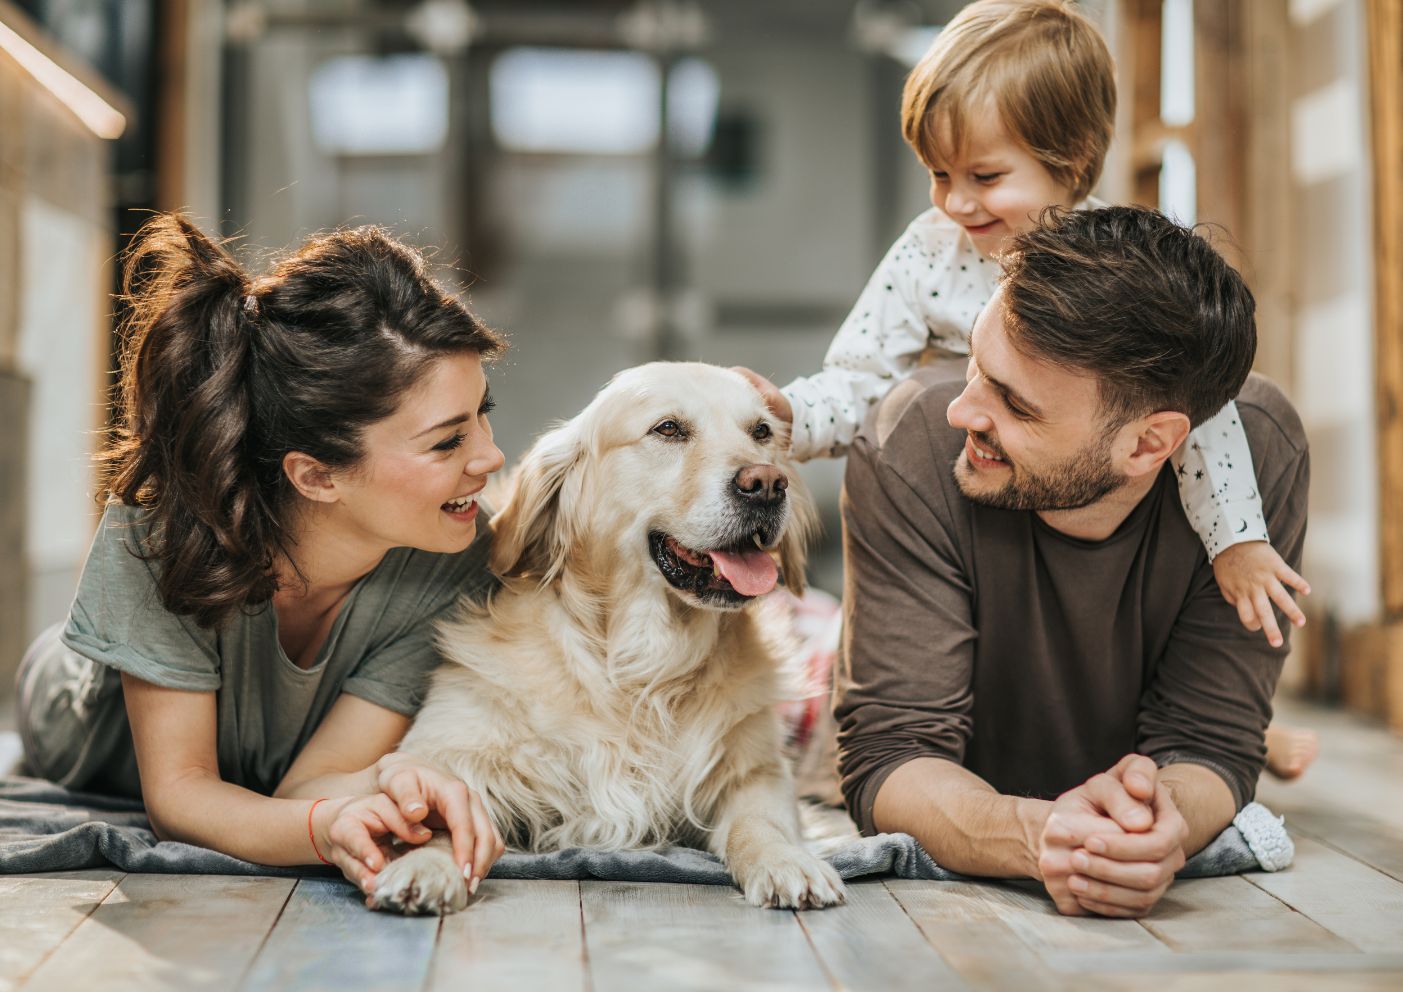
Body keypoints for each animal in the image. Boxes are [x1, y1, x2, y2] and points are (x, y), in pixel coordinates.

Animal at [373, 362, 841, 914]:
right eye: (668, 429)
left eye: (762, 432)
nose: (767, 483)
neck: (641, 666)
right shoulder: (451, 746)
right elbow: (444, 810)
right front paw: (425, 865)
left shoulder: (757, 770)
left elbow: (760, 821)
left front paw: (787, 860)